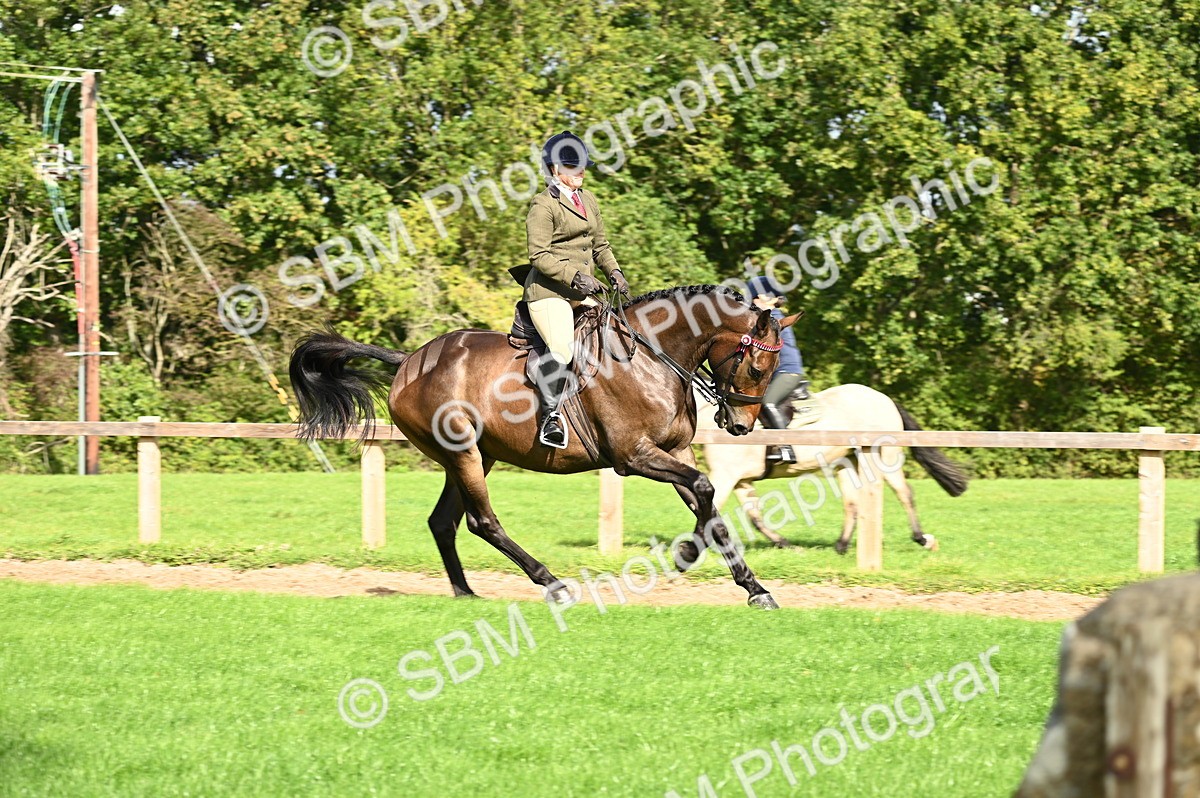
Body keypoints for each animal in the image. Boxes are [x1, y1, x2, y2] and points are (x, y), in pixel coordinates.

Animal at [289, 285, 802, 609]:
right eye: (757, 367)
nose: (740, 426)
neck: (653, 358)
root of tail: (410, 359)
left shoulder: (674, 453)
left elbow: (708, 505)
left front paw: (753, 587)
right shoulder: (633, 457)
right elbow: (705, 491)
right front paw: (686, 555)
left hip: (478, 456)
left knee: (443, 522)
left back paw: (465, 592)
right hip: (463, 454)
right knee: (482, 521)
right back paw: (552, 584)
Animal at [694, 384, 969, 554]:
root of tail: (886, 399)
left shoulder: (726, 476)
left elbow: (708, 514)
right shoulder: (741, 480)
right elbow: (756, 517)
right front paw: (786, 545)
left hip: (885, 458)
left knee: (904, 493)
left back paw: (923, 539)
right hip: (847, 462)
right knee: (853, 503)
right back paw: (841, 546)